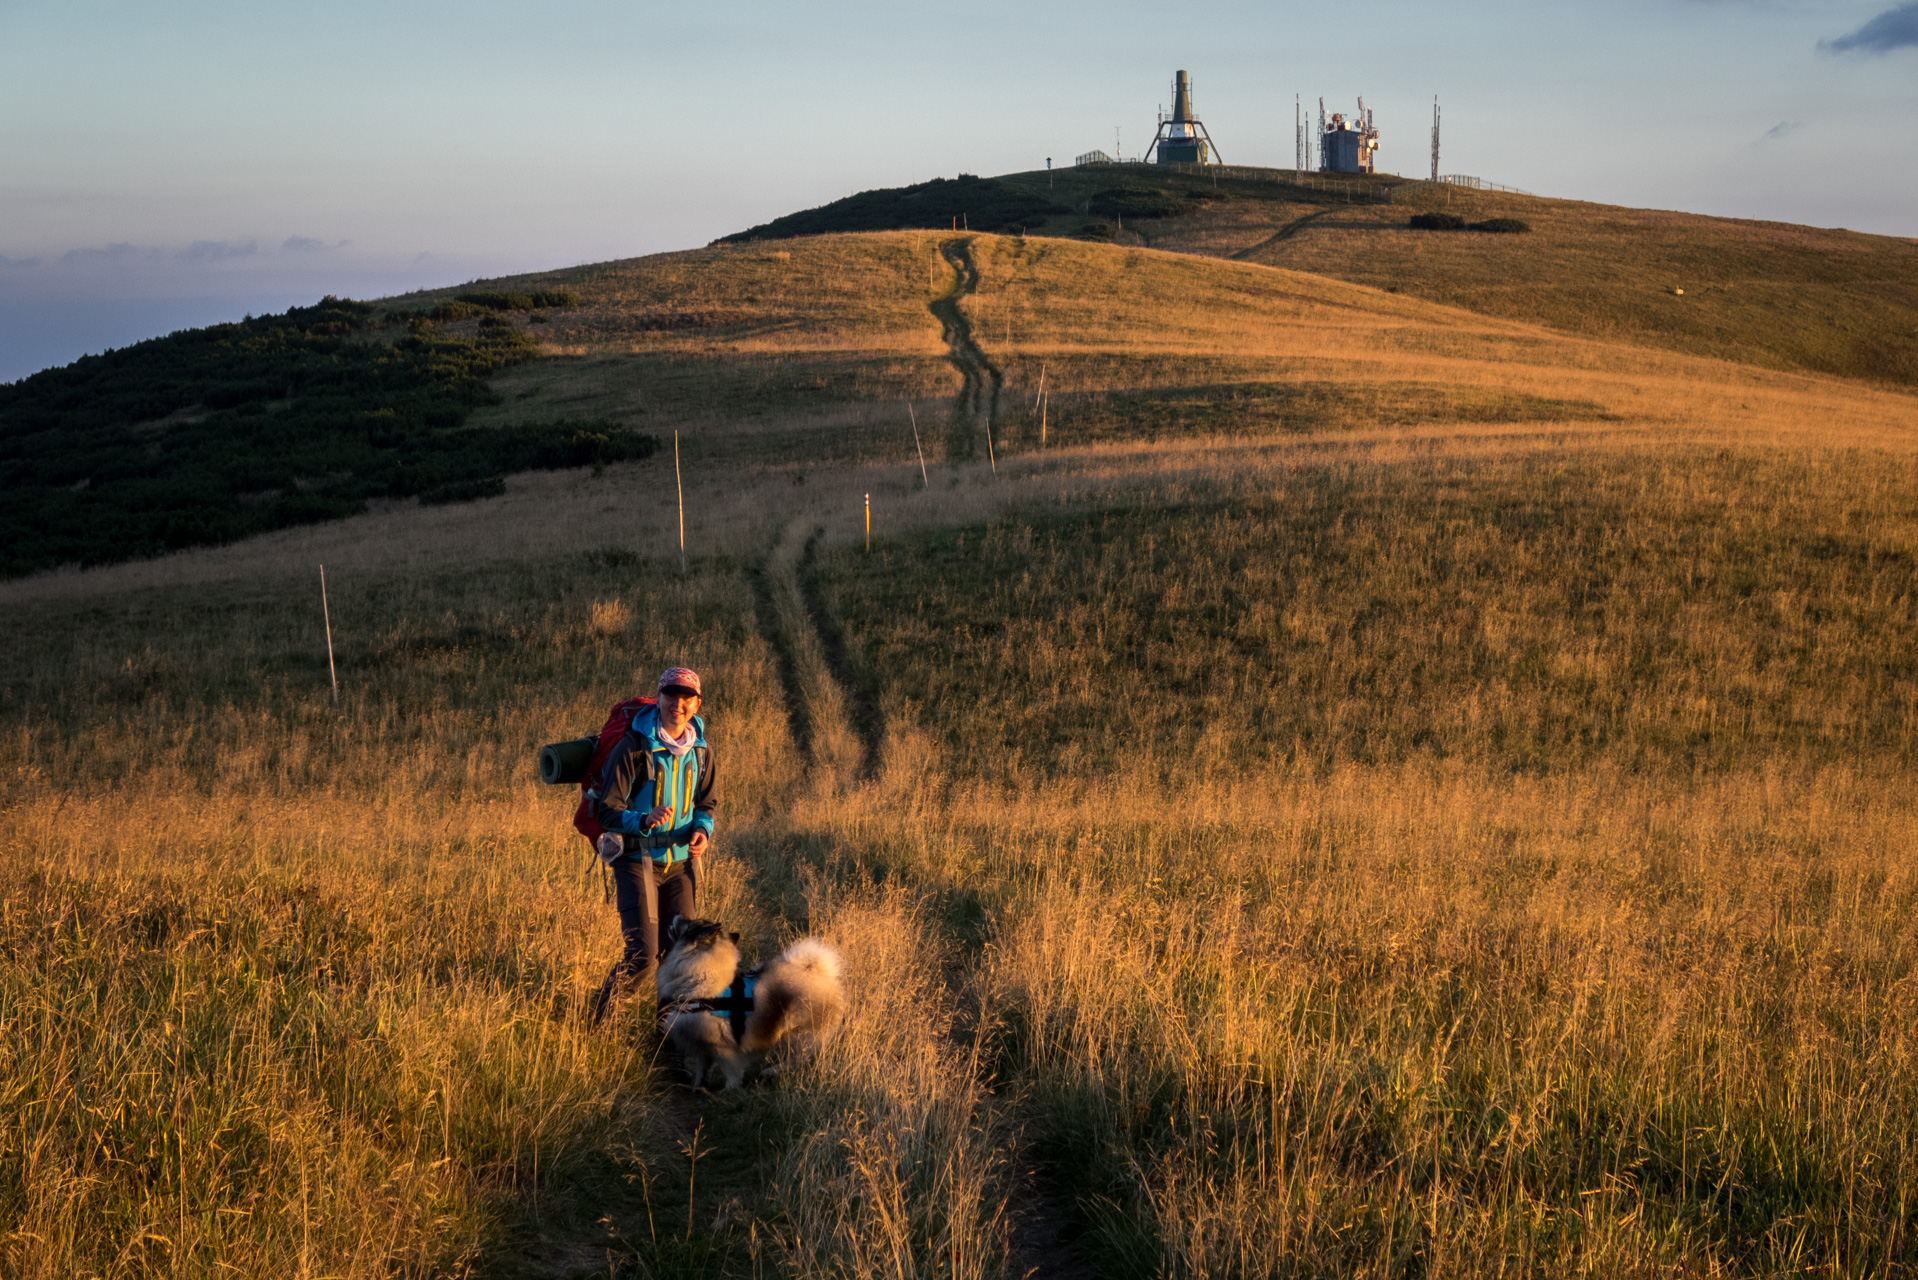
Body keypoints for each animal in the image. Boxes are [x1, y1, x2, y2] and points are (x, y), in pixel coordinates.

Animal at [655, 909, 843, 1090]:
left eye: (690, 924)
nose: (679, 913)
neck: (702, 979)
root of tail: (820, 975)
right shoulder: (704, 1047)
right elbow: (702, 1070)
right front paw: (698, 1087)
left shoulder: (725, 1050)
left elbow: (732, 1074)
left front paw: (729, 1091)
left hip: (796, 1034)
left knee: (798, 1059)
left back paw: (770, 1072)